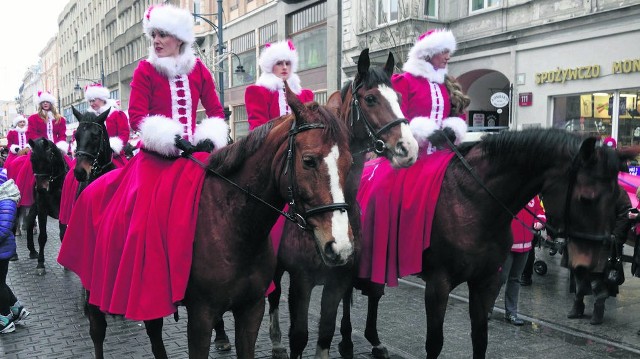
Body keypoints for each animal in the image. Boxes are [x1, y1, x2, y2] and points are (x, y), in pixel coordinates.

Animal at [27, 138, 69, 276]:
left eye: (49, 157)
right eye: (32, 159)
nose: (40, 188)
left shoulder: (63, 209)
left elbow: (63, 232)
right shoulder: (42, 208)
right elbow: (42, 237)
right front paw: (40, 264)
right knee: (29, 220)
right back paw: (32, 250)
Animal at [82, 87, 352, 359]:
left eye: (349, 162)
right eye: (308, 160)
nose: (341, 246)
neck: (233, 224)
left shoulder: (252, 308)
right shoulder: (201, 316)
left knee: (154, 331)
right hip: (94, 283)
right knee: (97, 331)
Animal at [266, 48, 420, 359]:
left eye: (398, 98)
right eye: (371, 98)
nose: (408, 148)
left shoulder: (340, 278)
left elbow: (326, 330)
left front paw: (347, 342)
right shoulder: (301, 281)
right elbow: (299, 335)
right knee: (274, 294)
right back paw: (271, 341)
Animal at [356, 128, 636, 358]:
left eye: (617, 198)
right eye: (587, 198)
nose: (592, 264)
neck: (471, 201)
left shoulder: (487, 281)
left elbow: (480, 339)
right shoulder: (438, 284)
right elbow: (434, 343)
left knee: (374, 293)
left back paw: (374, 340)